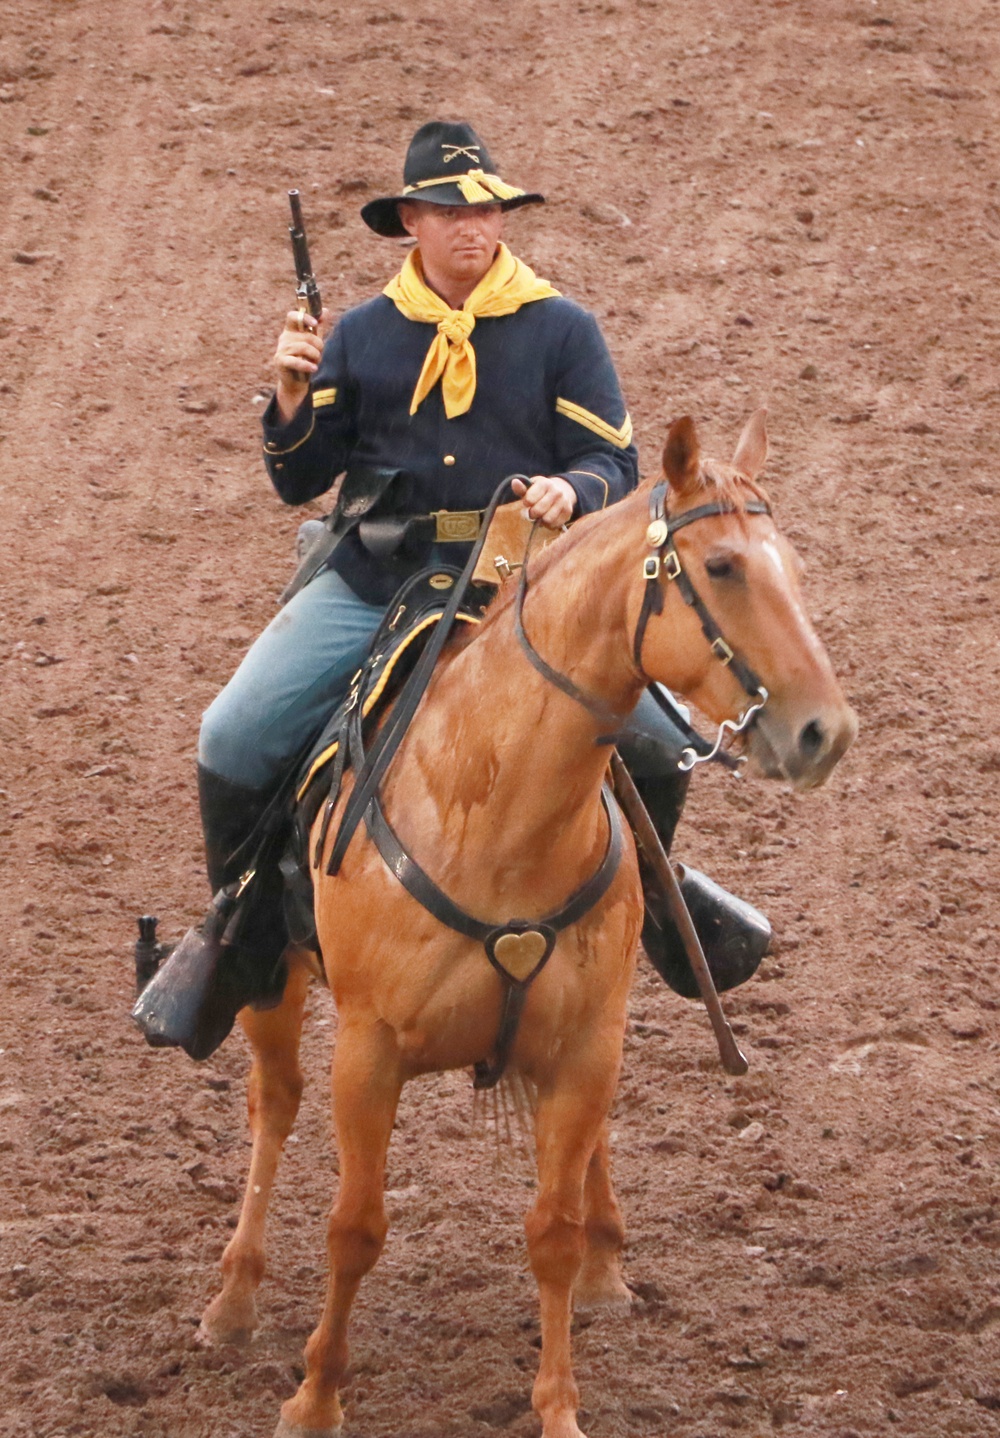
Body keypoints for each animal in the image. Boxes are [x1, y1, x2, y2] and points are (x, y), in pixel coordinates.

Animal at [197, 411, 863, 1432]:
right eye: (720, 568)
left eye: (790, 563)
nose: (825, 732)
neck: (496, 814)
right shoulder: (368, 1052)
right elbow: (355, 1228)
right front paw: (314, 1397)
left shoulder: (586, 1047)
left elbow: (551, 1229)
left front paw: (558, 1405)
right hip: (273, 981)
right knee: (273, 1103)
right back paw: (233, 1296)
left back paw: (608, 1266)